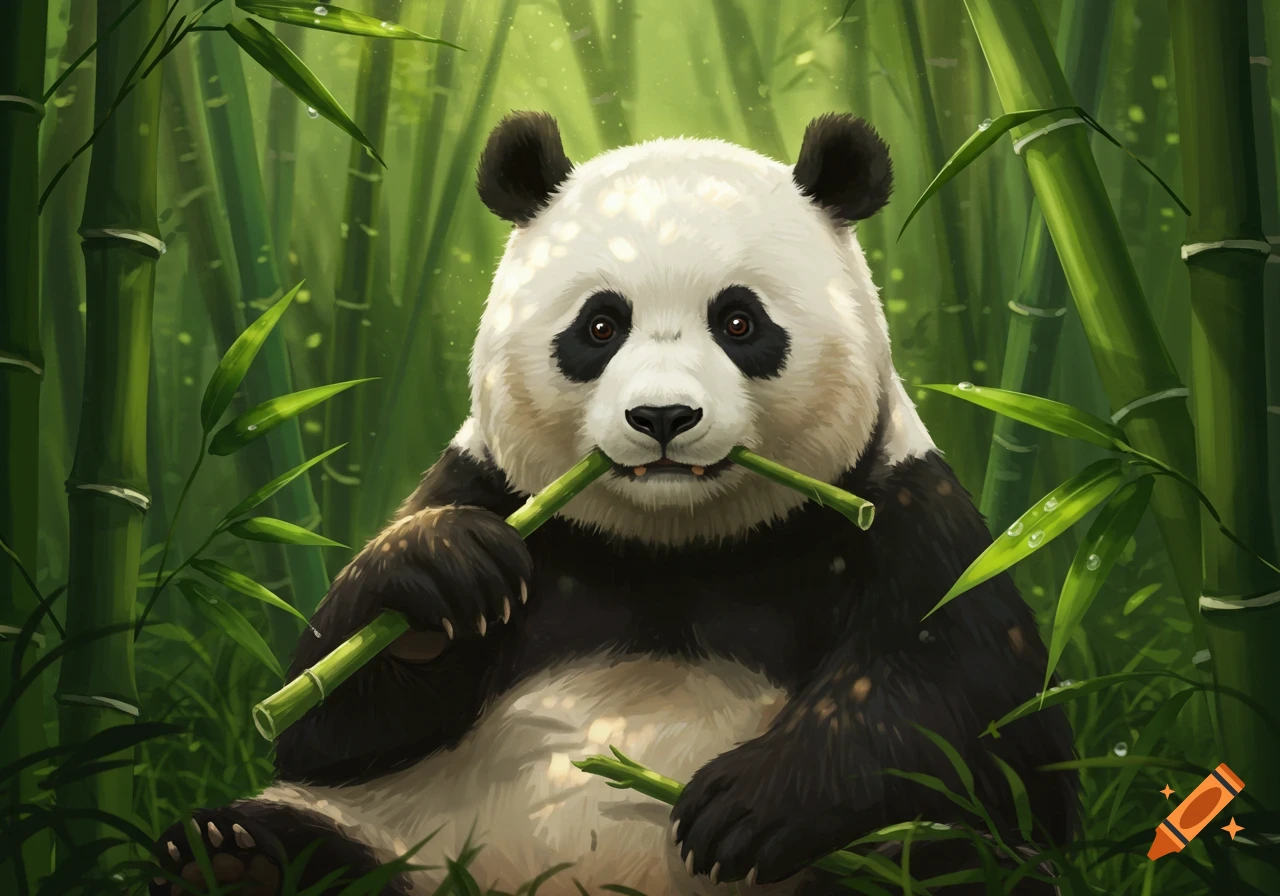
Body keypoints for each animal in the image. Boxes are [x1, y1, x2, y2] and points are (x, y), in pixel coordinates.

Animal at [152, 111, 1076, 896]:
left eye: (740, 322)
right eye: (600, 326)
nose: (663, 417)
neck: (675, 545)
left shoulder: (898, 506)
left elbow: (979, 706)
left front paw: (746, 803)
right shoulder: (489, 486)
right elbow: (326, 720)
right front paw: (444, 572)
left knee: (944, 858)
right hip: (408, 833)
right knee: (303, 825)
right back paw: (229, 860)